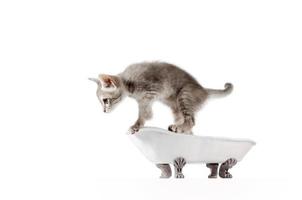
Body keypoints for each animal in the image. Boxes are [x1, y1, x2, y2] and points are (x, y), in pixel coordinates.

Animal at [88, 61, 232, 134]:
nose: (104, 111)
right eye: (101, 102)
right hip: (176, 106)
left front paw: (137, 125)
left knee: (191, 121)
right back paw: (180, 129)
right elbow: (144, 108)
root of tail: (202, 89)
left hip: (184, 96)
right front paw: (145, 118)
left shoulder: (153, 90)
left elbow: (143, 110)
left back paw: (179, 128)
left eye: (105, 100)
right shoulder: (145, 97)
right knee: (189, 126)